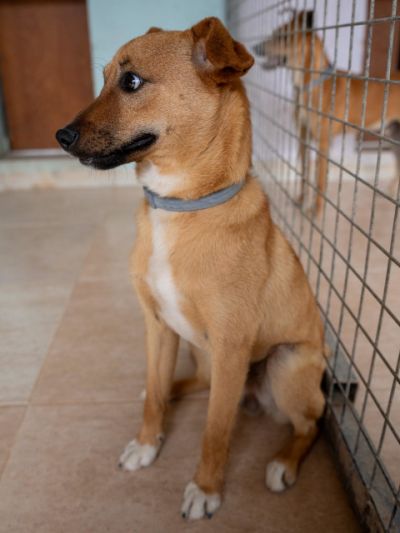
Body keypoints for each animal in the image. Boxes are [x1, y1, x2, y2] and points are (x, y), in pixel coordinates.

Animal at [56, 17, 326, 521]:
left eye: (131, 82)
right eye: (103, 78)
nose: (59, 136)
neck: (181, 208)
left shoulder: (231, 347)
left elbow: (215, 431)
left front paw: (205, 489)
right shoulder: (157, 326)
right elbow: (156, 392)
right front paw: (147, 443)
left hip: (286, 364)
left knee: (309, 425)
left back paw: (283, 463)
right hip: (200, 351)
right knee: (190, 382)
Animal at [254, 10, 400, 215]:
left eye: (283, 37)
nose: (255, 47)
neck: (310, 85)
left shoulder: (323, 143)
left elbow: (320, 179)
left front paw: (316, 211)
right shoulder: (303, 138)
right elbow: (305, 173)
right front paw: (300, 200)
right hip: (392, 136)